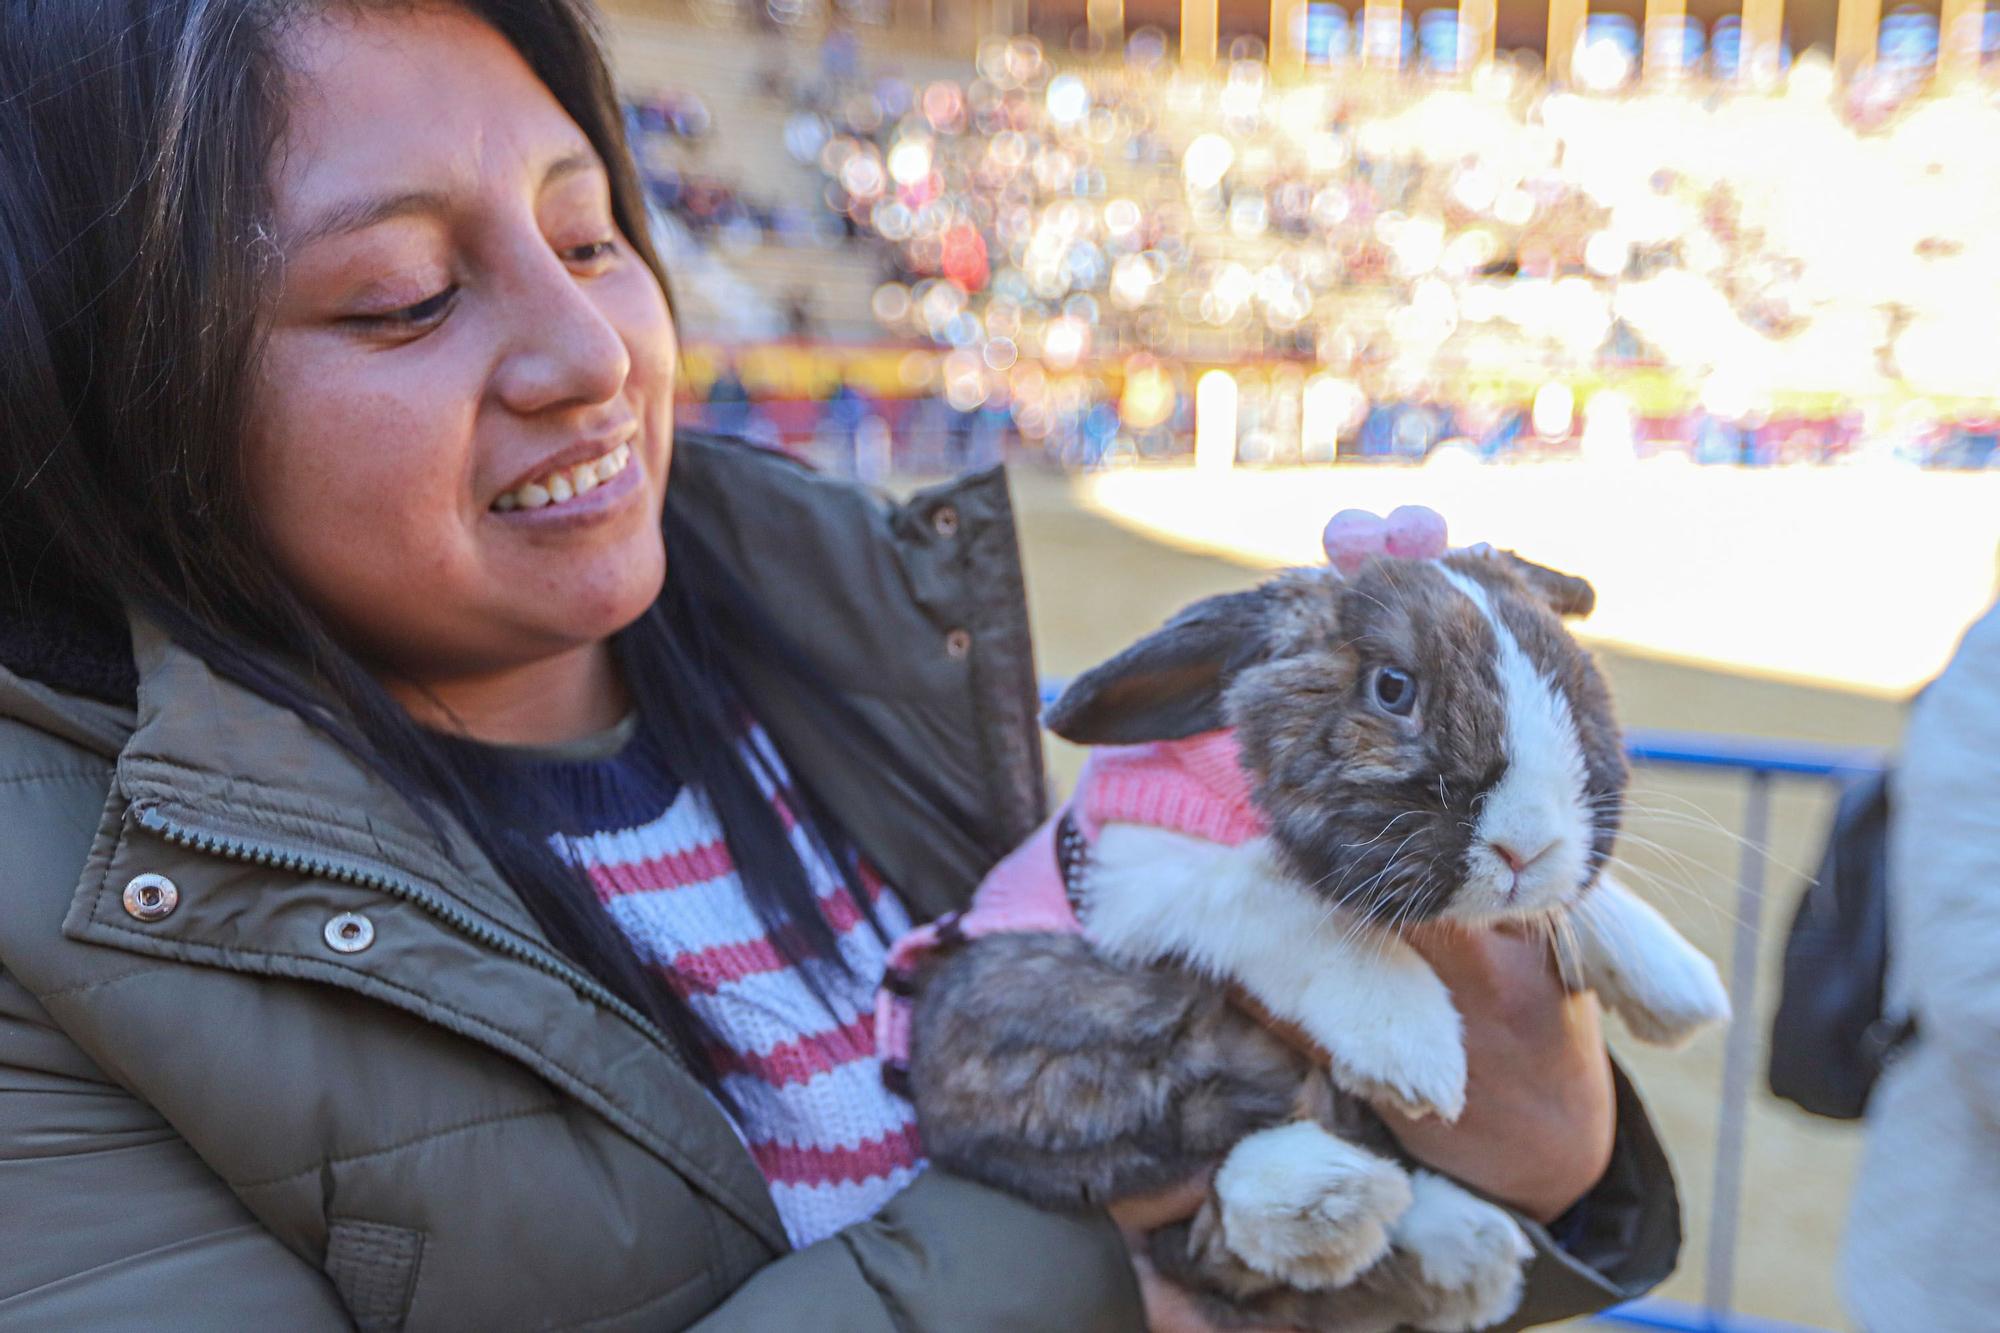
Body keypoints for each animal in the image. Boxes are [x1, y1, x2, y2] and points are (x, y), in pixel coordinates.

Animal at [892, 540, 1736, 1328]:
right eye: (1393, 687)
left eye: (1571, 678)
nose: (1527, 846)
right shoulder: (1143, 875)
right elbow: (1300, 912)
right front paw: (1414, 1050)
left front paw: (1680, 987)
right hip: (1054, 1029)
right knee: (1178, 1183)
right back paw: (1334, 1198)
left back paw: (1464, 1247)